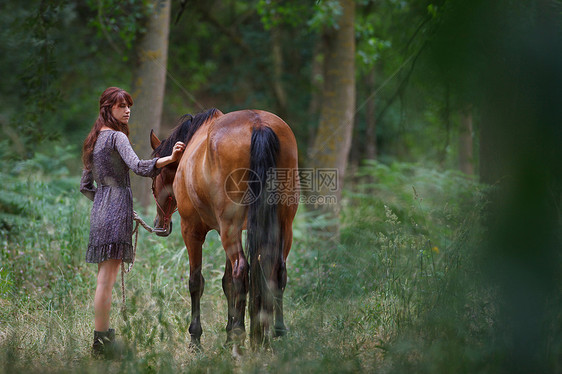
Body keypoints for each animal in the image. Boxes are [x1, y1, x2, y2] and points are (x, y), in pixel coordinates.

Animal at [148, 108, 298, 350]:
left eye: (154, 180)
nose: (159, 225)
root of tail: (258, 124)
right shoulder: (226, 230)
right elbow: (227, 282)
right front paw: (228, 334)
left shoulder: (192, 231)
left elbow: (196, 282)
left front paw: (196, 337)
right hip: (282, 222)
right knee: (277, 270)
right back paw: (276, 332)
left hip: (231, 227)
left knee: (241, 270)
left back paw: (241, 335)